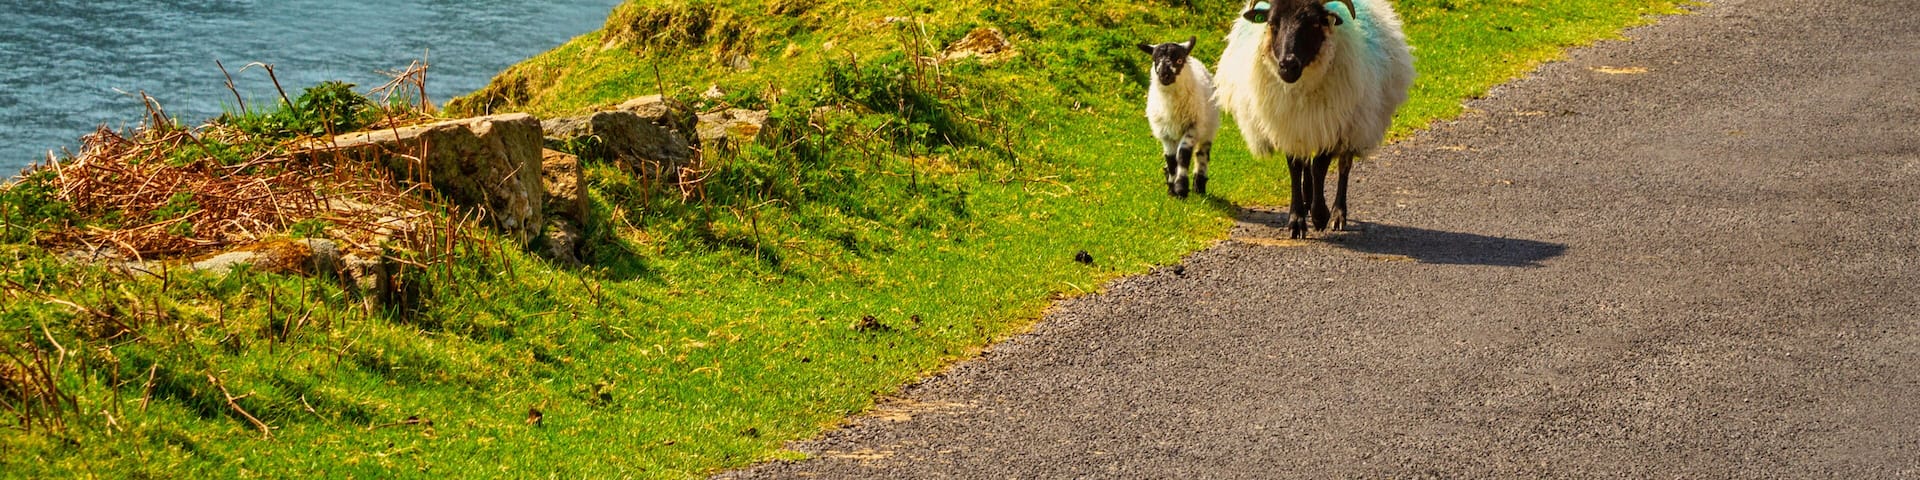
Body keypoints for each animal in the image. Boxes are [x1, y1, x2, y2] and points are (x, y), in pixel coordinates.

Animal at [1138, 37, 1221, 198]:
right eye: (1155, 60)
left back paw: (1199, 186)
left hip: (1208, 128)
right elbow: (1171, 160)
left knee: (1201, 155)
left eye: (1179, 60)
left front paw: (1181, 187)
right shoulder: (1165, 134)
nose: (1164, 75)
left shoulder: (1192, 127)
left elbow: (1183, 155)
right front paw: (1172, 188)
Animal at [1213, 0, 1414, 238]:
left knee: (1344, 166)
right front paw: (1296, 219)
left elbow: (1320, 166)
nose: (1287, 65)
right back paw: (1308, 199)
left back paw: (1337, 214)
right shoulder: (1290, 127)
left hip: (1355, 123)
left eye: (1314, 24)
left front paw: (1320, 215)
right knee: (1306, 163)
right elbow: (1296, 167)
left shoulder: (1333, 125)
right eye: (1272, 23)